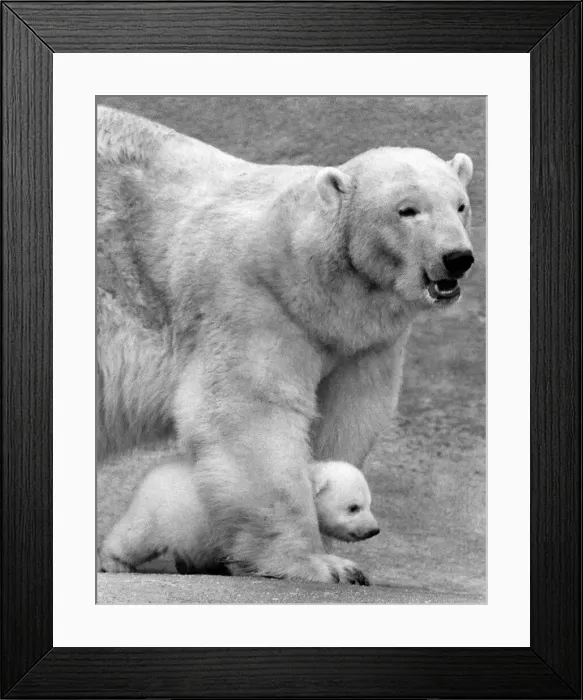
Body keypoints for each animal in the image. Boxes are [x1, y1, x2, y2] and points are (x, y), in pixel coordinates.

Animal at [99, 459, 379, 582]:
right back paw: (115, 563)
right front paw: (338, 571)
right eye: (353, 507)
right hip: (162, 511)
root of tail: (153, 473)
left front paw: (351, 571)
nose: (374, 530)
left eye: (369, 504)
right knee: (136, 537)